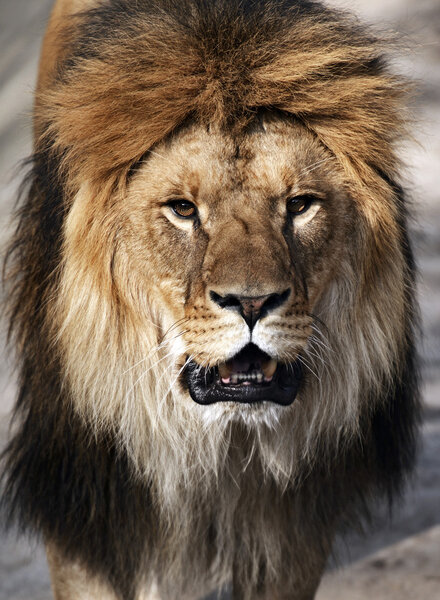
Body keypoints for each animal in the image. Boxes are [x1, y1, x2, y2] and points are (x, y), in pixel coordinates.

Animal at [1, 1, 422, 600]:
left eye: (300, 205)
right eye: (182, 209)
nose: (252, 303)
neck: (224, 450)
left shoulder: (292, 536)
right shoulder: (91, 509)